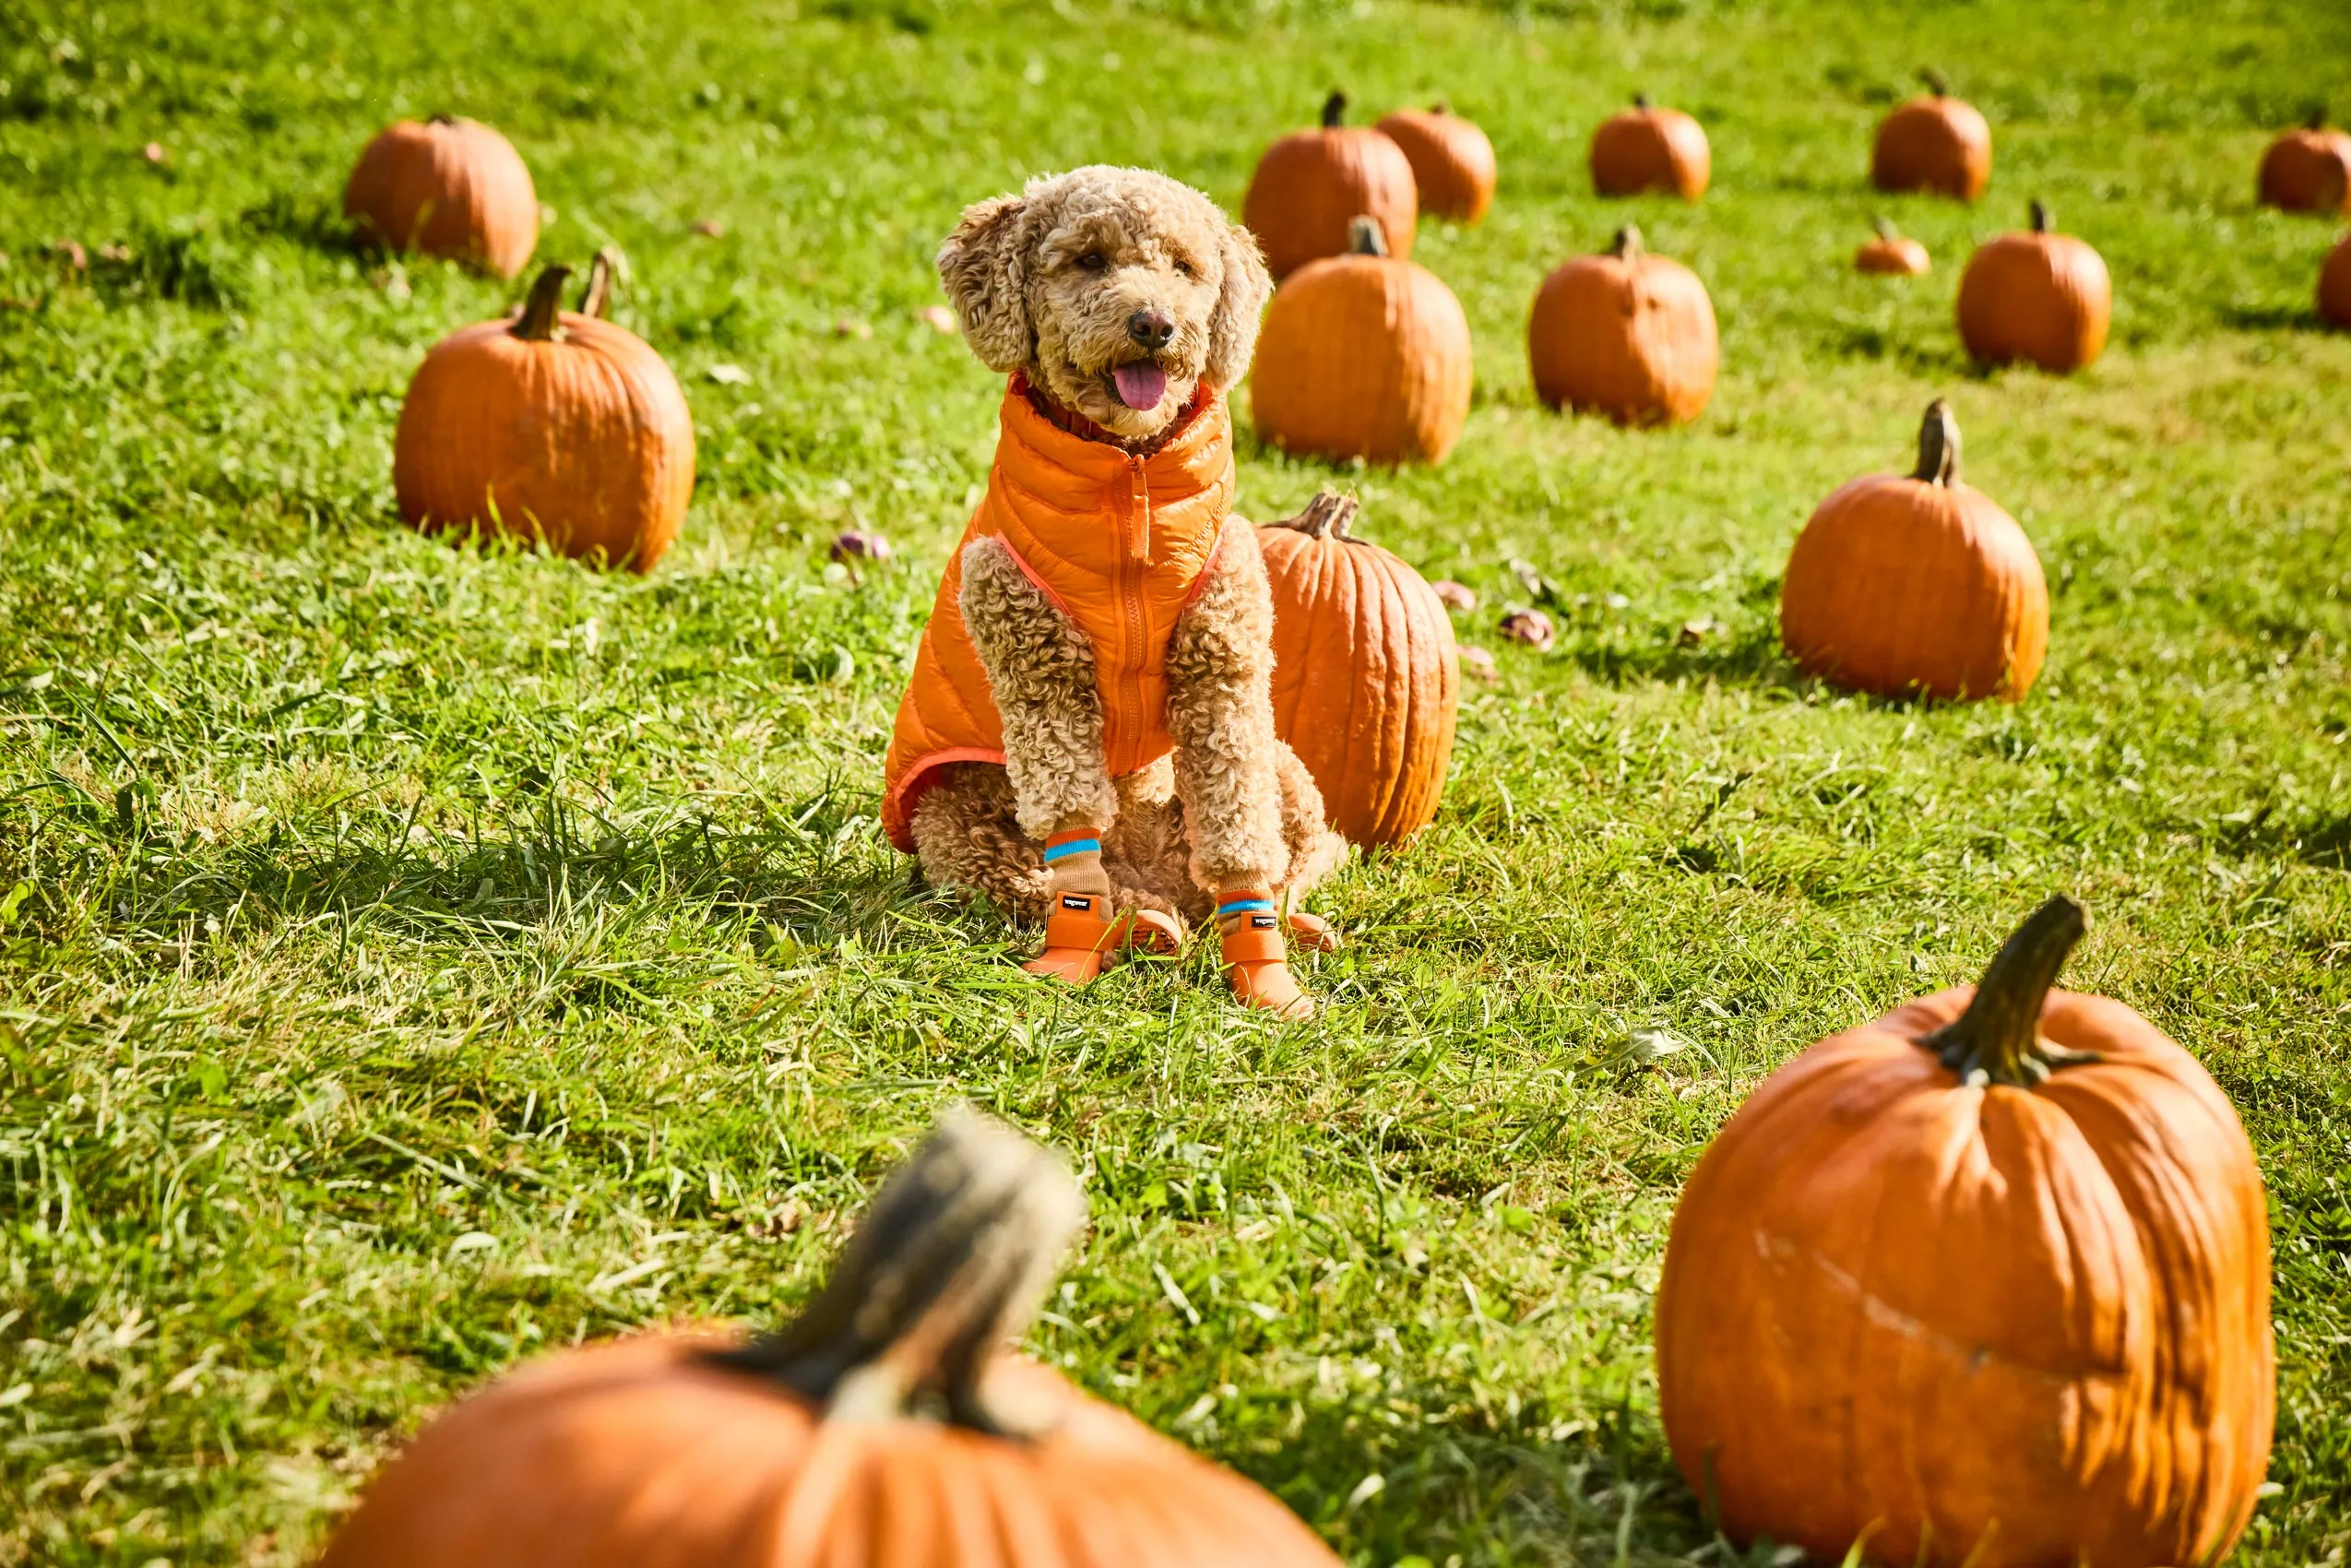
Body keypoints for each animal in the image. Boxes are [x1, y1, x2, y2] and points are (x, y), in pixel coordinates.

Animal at [884, 161, 1354, 1020]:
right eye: (1090, 260)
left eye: (1184, 266)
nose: (1153, 324)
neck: (1127, 479)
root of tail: (1153, 871)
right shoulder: (1038, 667)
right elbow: (1069, 820)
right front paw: (1074, 949)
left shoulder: (1223, 668)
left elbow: (1241, 833)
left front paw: (1262, 962)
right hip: (957, 823)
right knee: (1035, 883)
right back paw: (1140, 925)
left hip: (1289, 776)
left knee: (1288, 861)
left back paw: (1278, 924)